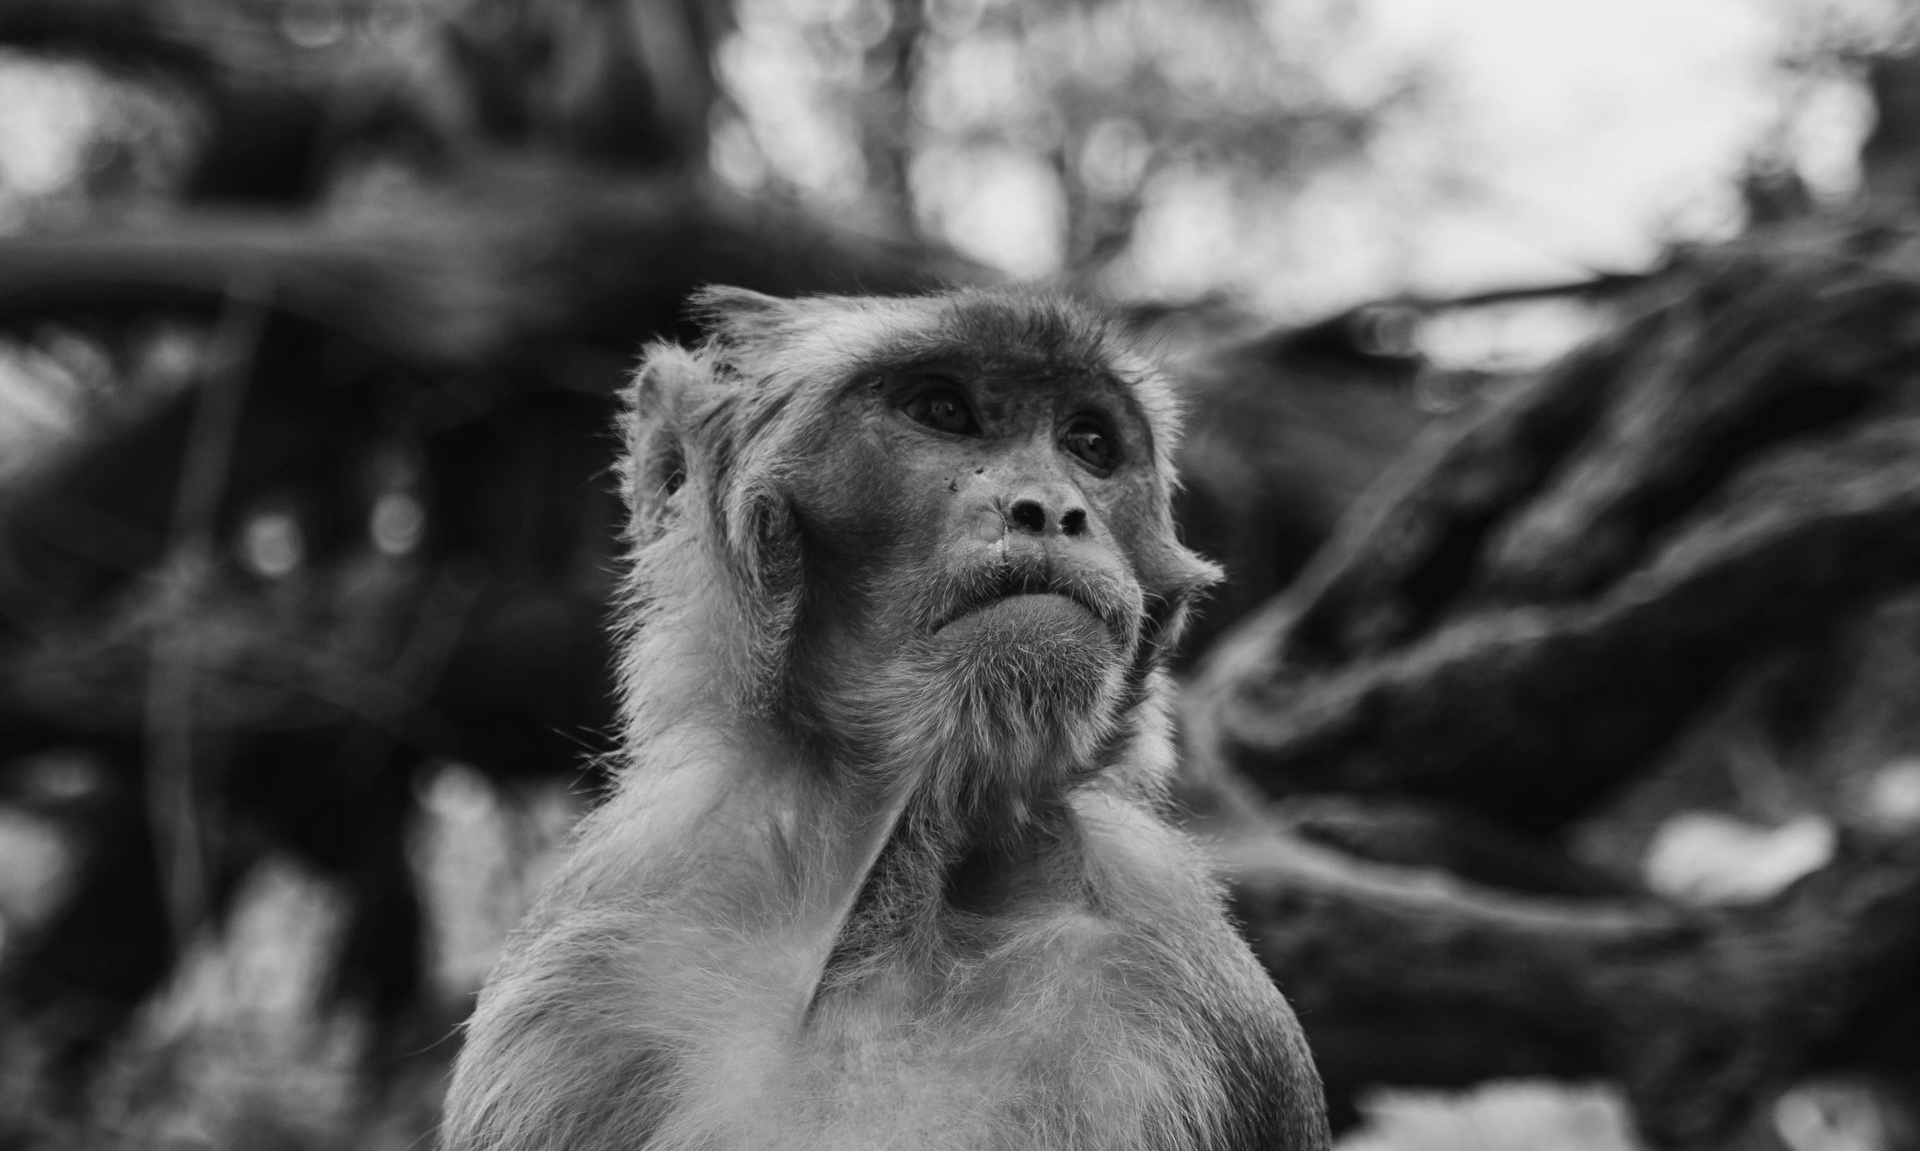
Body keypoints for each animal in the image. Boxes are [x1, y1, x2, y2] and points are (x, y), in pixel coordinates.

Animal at [441, 286, 1331, 1151]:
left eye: (1088, 443)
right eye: (943, 410)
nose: (1054, 509)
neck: (898, 886)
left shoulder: (1193, 975)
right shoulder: (583, 972)